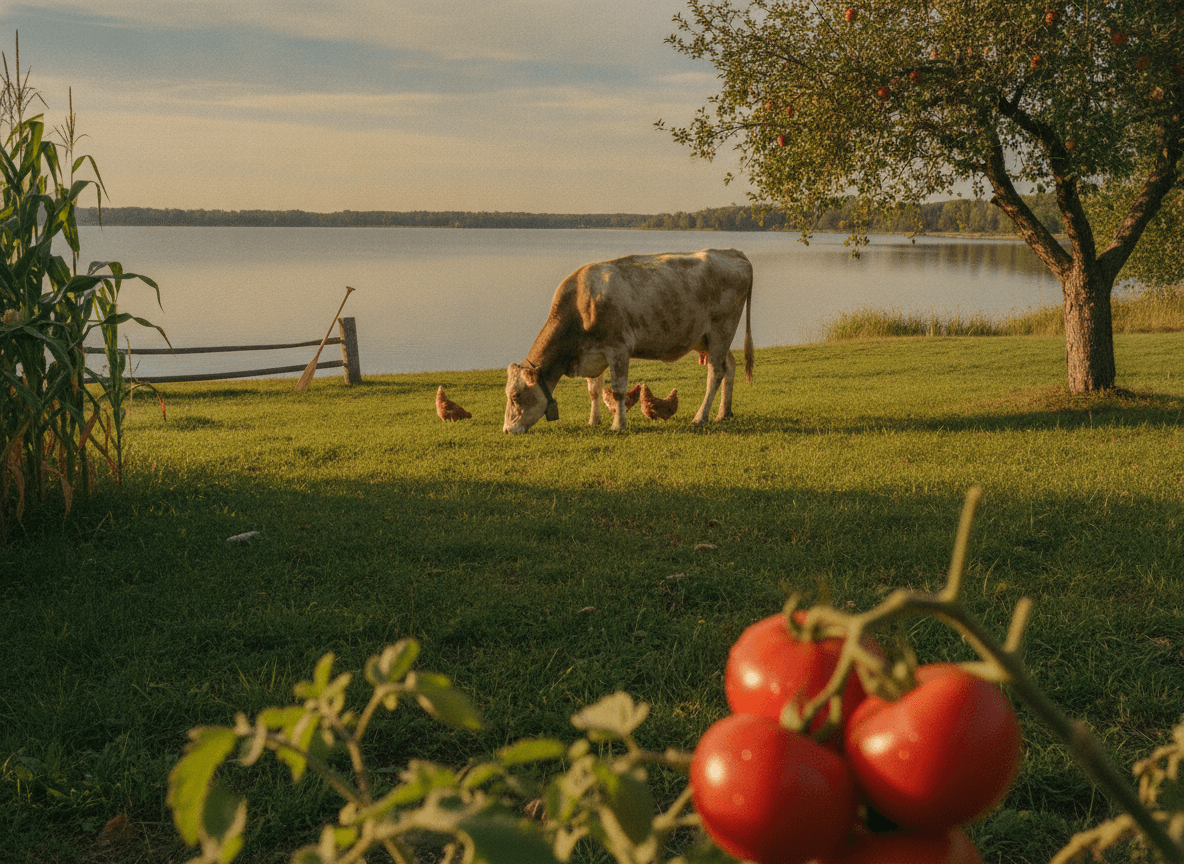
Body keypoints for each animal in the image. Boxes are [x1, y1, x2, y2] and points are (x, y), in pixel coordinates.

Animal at [503, 248, 753, 434]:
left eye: (515, 396)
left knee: (715, 373)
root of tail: (732, 252)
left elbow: (618, 391)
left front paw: (618, 425)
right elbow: (594, 390)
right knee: (730, 365)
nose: (506, 429)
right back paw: (723, 413)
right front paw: (594, 421)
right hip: (708, 337)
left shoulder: (618, 348)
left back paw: (700, 417)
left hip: (722, 328)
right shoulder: (593, 353)